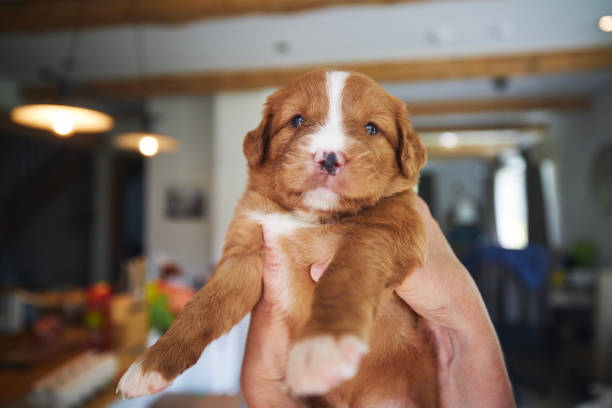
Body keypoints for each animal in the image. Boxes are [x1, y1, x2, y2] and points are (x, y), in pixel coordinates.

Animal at [118, 71, 436, 408]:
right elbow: (203, 306)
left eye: (372, 128)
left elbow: (344, 278)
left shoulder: (386, 231)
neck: (308, 213)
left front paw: (322, 347)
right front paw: (150, 365)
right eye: (296, 120)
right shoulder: (245, 249)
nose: (329, 158)